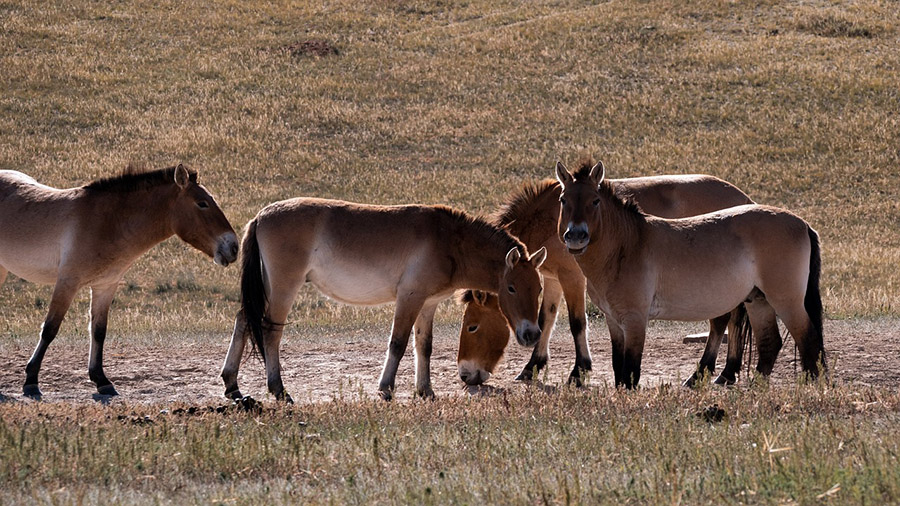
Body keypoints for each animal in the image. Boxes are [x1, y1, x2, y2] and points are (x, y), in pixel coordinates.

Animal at [0, 165, 238, 399]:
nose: (234, 247)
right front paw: (31, 380)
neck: (108, 222)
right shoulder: (67, 282)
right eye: (202, 203)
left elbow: (98, 331)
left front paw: (101, 381)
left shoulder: (105, 286)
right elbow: (50, 329)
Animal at [220, 197, 547, 402]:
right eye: (512, 288)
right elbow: (398, 343)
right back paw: (279, 390)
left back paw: (232, 385)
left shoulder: (428, 304)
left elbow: (423, 347)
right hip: (283, 287)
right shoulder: (410, 297)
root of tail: (261, 217)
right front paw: (386, 389)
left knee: (243, 320)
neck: (450, 241)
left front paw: (425, 391)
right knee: (269, 331)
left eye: (539, 288)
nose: (532, 334)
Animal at [457, 172, 755, 387]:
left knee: (723, 321)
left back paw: (706, 372)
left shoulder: (572, 278)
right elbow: (545, 320)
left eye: (473, 326)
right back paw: (727, 371)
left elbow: (577, 323)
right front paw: (532, 366)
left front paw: (579, 371)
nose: (466, 376)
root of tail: (745, 199)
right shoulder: (551, 279)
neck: (550, 218)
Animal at [556, 160, 824, 388]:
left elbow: (631, 372)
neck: (628, 246)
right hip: (758, 301)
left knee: (807, 338)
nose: (576, 236)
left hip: (786, 302)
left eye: (595, 200)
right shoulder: (613, 321)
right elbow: (618, 369)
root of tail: (803, 224)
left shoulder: (635, 320)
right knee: (770, 344)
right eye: (563, 200)